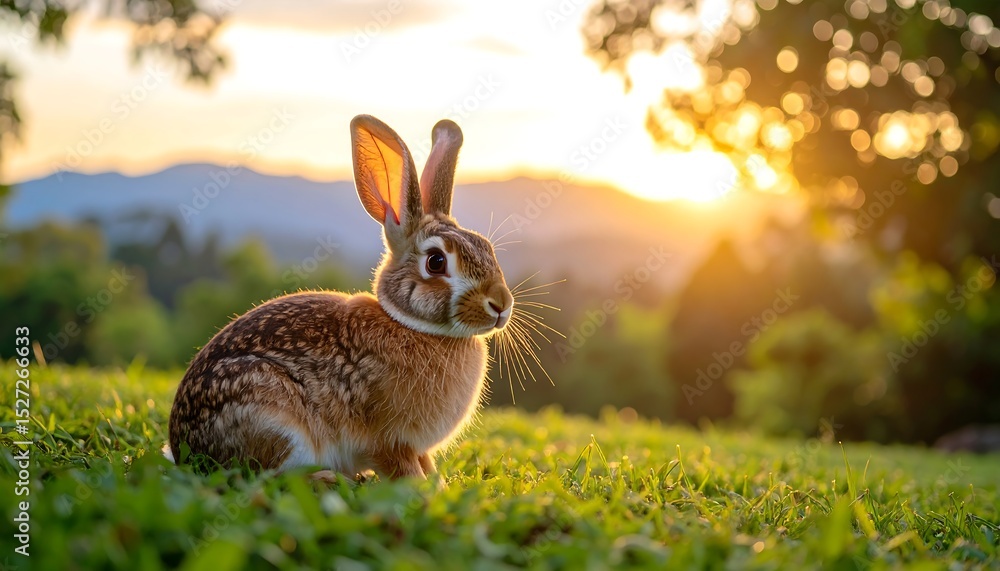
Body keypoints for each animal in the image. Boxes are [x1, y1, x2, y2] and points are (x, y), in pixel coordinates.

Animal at [167, 115, 513, 479]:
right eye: (436, 262)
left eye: (487, 247)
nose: (501, 305)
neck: (415, 326)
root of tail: (183, 447)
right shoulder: (389, 442)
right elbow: (403, 469)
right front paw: (421, 487)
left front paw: (438, 483)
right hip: (271, 413)